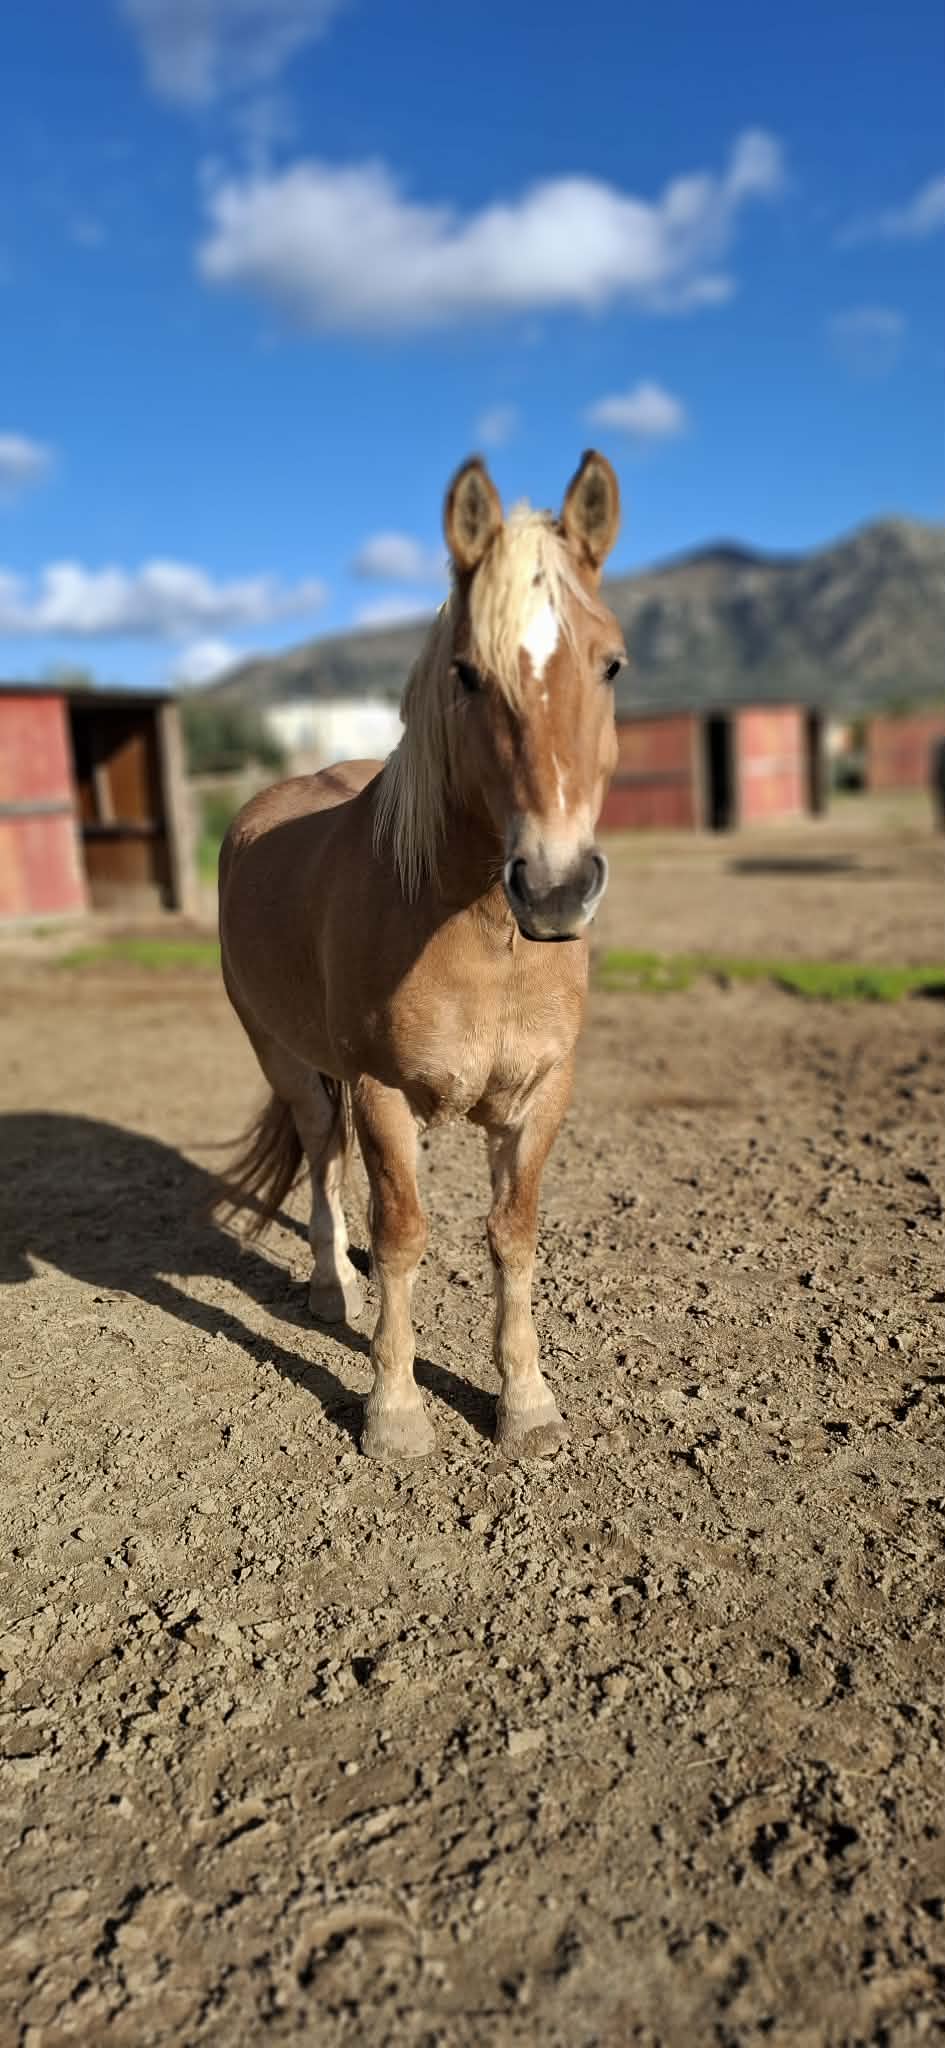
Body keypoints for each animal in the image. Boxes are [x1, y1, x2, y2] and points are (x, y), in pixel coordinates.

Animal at [218, 450, 624, 1462]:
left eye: (610, 663)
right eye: (467, 674)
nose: (554, 888)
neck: (477, 935)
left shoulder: (541, 1095)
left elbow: (512, 1235)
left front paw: (525, 1403)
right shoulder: (382, 1093)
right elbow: (401, 1234)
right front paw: (394, 1410)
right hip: (285, 1057)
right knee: (322, 1157)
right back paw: (333, 1288)